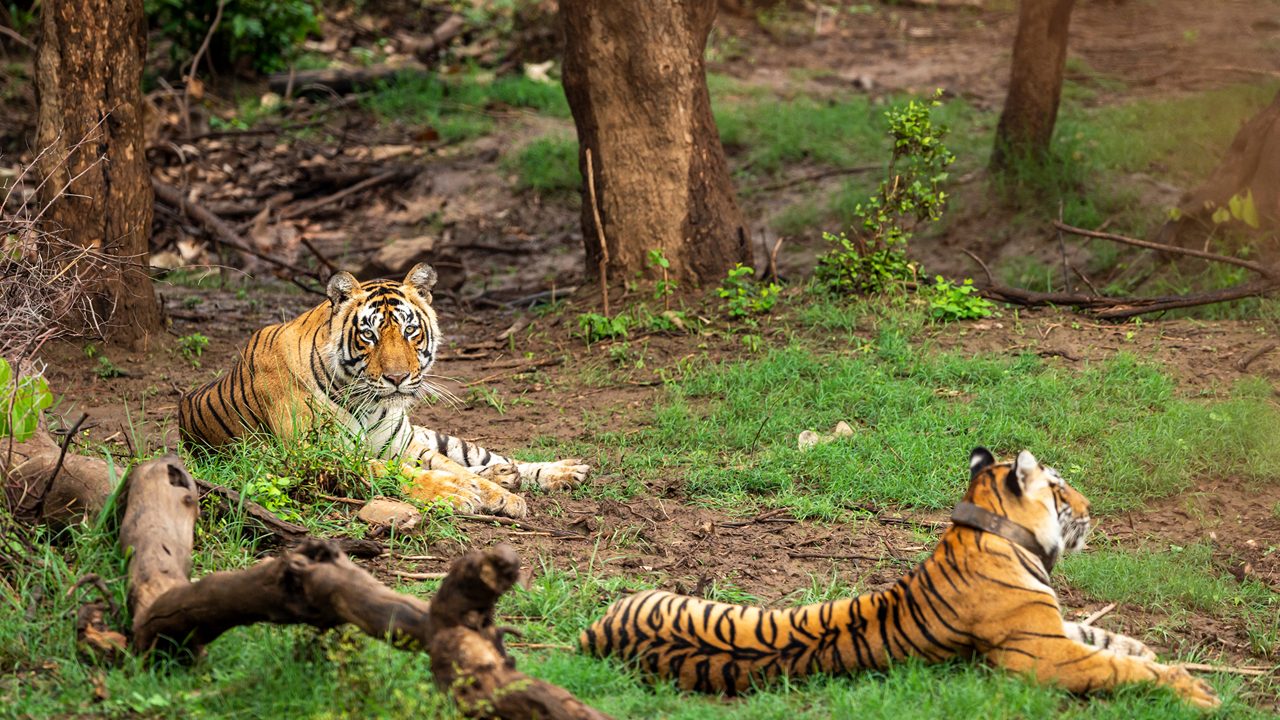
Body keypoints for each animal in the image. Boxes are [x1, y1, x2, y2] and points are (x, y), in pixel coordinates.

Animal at [177, 263, 586, 515]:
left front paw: (502, 497)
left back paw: (561, 471)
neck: (370, 404)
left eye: (410, 330)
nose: (397, 378)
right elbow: (406, 474)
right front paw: (454, 493)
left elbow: (459, 469)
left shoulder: (405, 445)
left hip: (430, 436)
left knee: (483, 457)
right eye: (369, 335)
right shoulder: (320, 456)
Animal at [581, 448, 1218, 707]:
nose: (1091, 507)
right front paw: (1195, 691)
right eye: (1060, 487)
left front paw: (1163, 658)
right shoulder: (1041, 654)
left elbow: (1112, 639)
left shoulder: (1053, 628)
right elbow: (1116, 665)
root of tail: (593, 634)